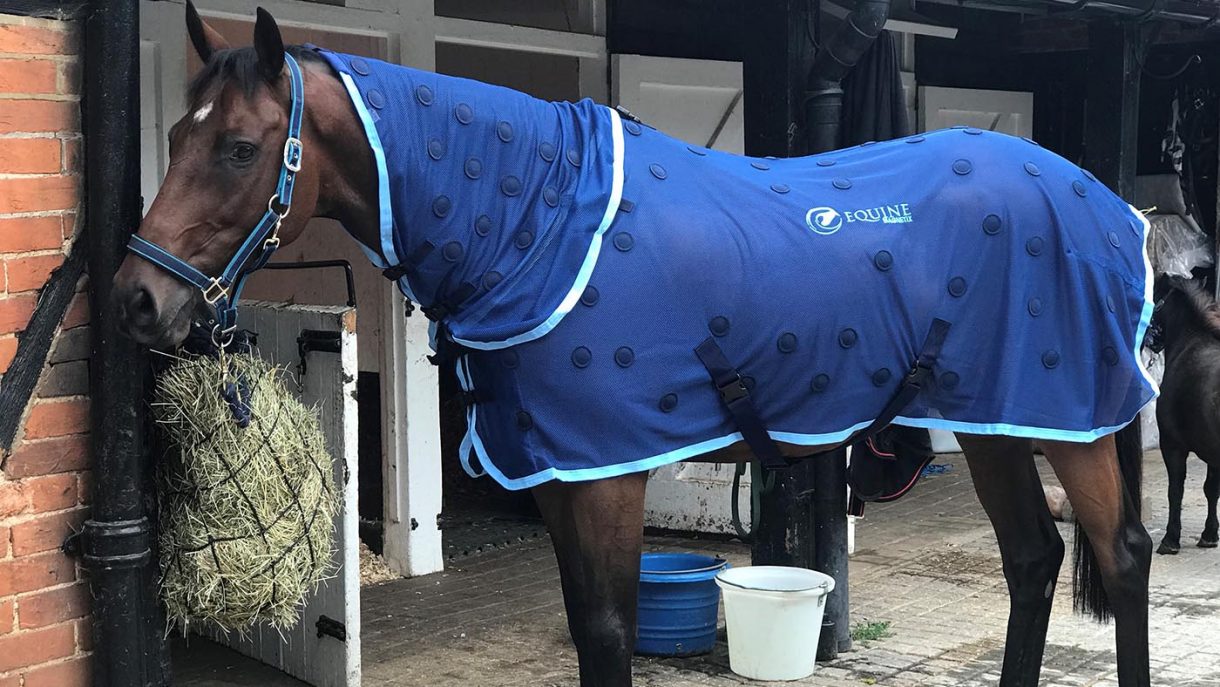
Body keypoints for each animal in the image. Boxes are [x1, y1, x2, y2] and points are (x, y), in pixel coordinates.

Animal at [111, 5, 1157, 686]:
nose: (135, 299)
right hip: (996, 421)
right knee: (1032, 560)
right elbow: (587, 627)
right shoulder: (561, 477)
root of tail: (1107, 208)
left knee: (1124, 554)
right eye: (178, 133)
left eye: (240, 148)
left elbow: (611, 631)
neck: (536, 222)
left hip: (1068, 421)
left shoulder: (607, 476)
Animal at [1148, 275, 1220, 555]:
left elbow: (1175, 490)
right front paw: (1210, 534)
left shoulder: (1172, 445)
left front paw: (1170, 539)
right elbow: (1211, 489)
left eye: (1153, 295)